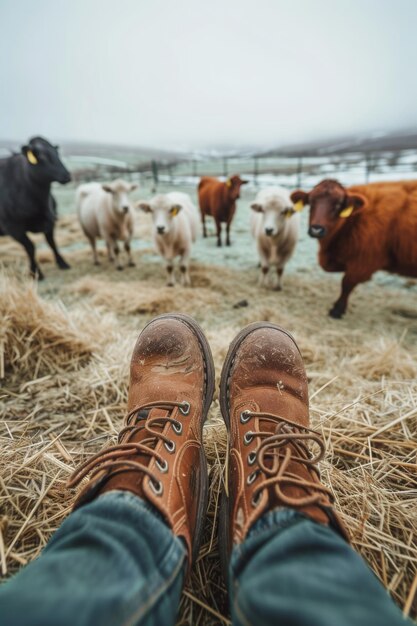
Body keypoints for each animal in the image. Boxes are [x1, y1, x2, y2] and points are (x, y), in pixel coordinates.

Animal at [0, 139, 71, 280]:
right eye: (42, 157)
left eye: (57, 154)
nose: (67, 175)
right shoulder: (13, 228)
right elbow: (30, 247)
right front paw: (36, 272)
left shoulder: (50, 221)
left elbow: (52, 242)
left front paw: (62, 263)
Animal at [290, 179, 416, 316]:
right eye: (311, 202)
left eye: (338, 205)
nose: (316, 230)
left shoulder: (364, 261)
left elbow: (347, 283)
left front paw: (337, 310)